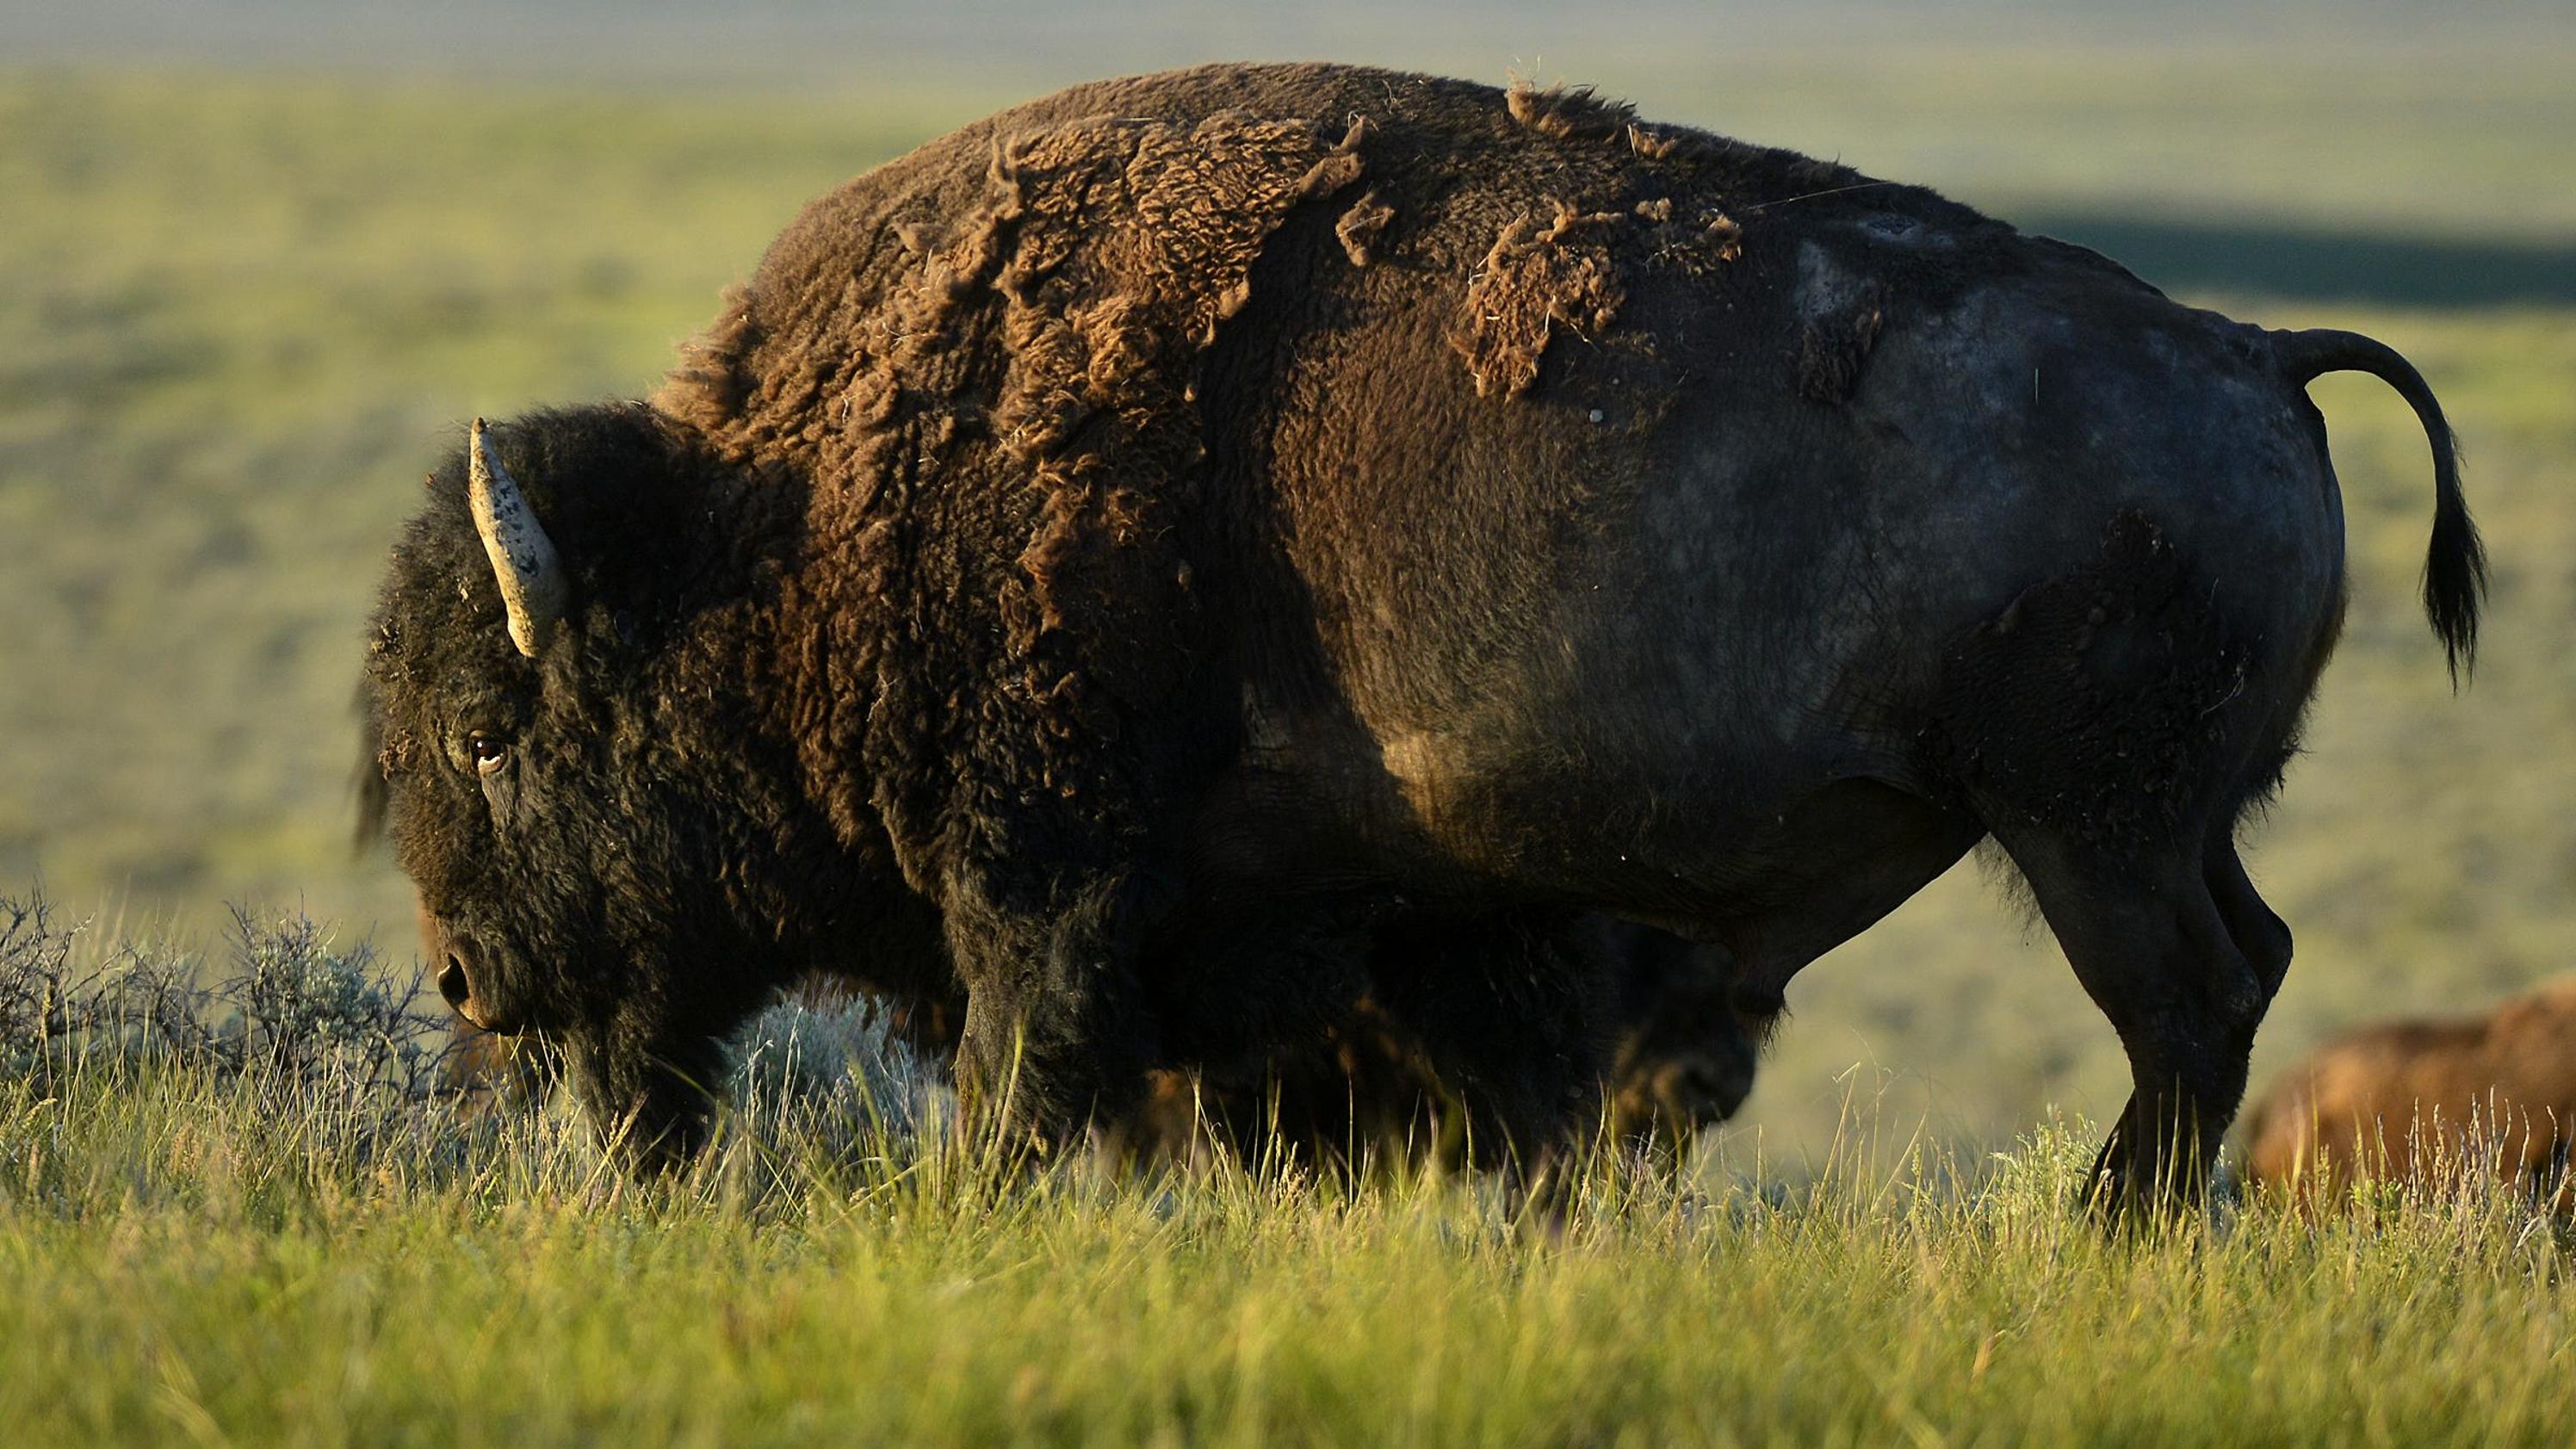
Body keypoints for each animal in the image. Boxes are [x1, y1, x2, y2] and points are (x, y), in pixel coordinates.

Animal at [360, 62, 2479, 1208]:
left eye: (487, 730)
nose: (464, 978)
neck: (778, 521)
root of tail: (2250, 351)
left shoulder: (1042, 879)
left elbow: (1025, 1081)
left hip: (2091, 834)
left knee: (2187, 1008)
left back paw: (2100, 1233)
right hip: (2162, 826)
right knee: (2240, 973)